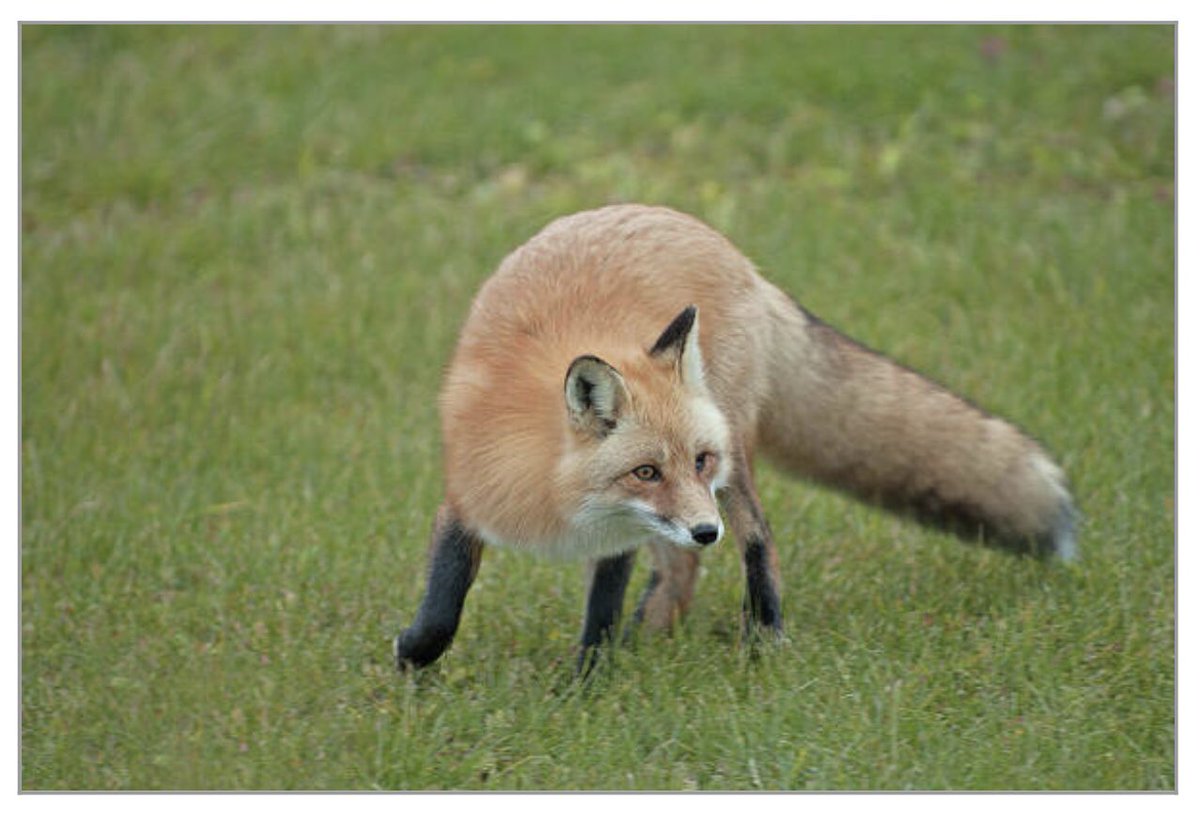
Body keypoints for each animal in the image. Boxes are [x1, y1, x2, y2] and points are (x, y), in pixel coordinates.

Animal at [394, 203, 1077, 672]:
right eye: (646, 471)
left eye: (697, 459)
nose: (706, 530)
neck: (561, 505)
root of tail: (729, 249)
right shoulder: (468, 498)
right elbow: (444, 600)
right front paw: (415, 659)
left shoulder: (626, 533)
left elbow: (601, 610)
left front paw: (586, 678)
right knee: (682, 568)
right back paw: (655, 631)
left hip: (735, 470)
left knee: (756, 539)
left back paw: (763, 635)